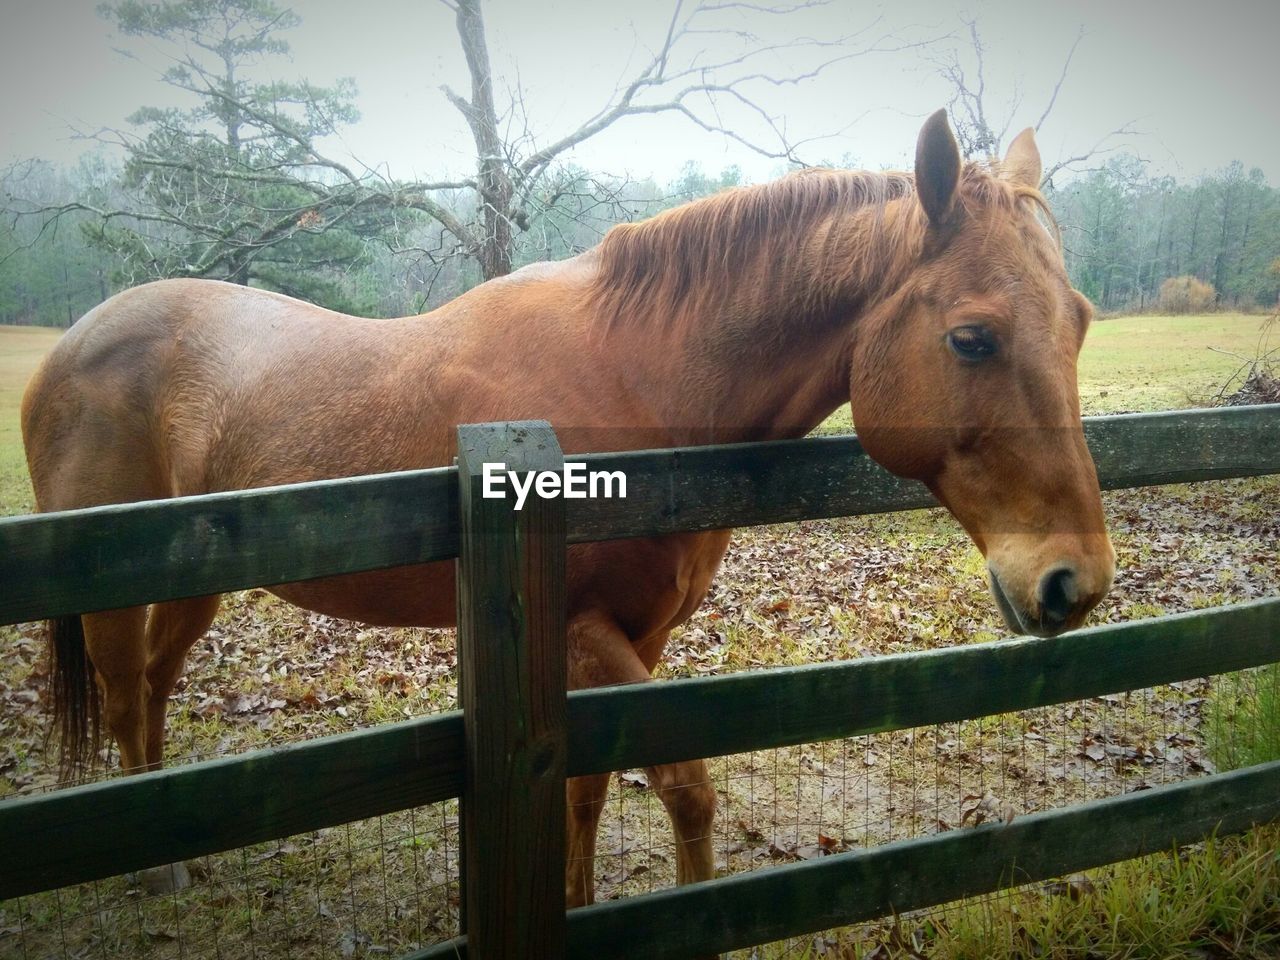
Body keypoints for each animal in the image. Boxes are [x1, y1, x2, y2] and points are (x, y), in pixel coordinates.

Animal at [24, 112, 1116, 901]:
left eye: (1079, 322)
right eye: (971, 338)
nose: (1072, 582)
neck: (633, 377)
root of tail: (70, 347)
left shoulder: (639, 634)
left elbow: (590, 787)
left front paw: (582, 902)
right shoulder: (585, 628)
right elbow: (682, 788)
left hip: (198, 585)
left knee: (155, 689)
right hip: (114, 600)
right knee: (122, 692)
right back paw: (155, 871)